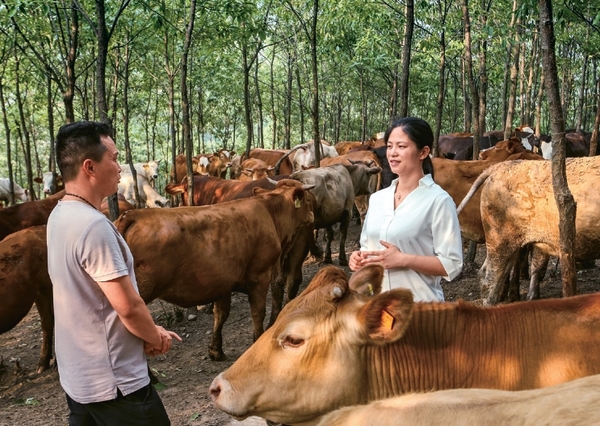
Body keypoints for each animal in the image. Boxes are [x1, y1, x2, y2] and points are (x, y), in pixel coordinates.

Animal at [115, 178, 316, 362]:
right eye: (307, 199)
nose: (313, 215)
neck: (270, 213)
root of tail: (132, 215)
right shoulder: (259, 277)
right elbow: (258, 312)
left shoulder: (223, 282)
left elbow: (221, 314)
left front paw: (215, 350)